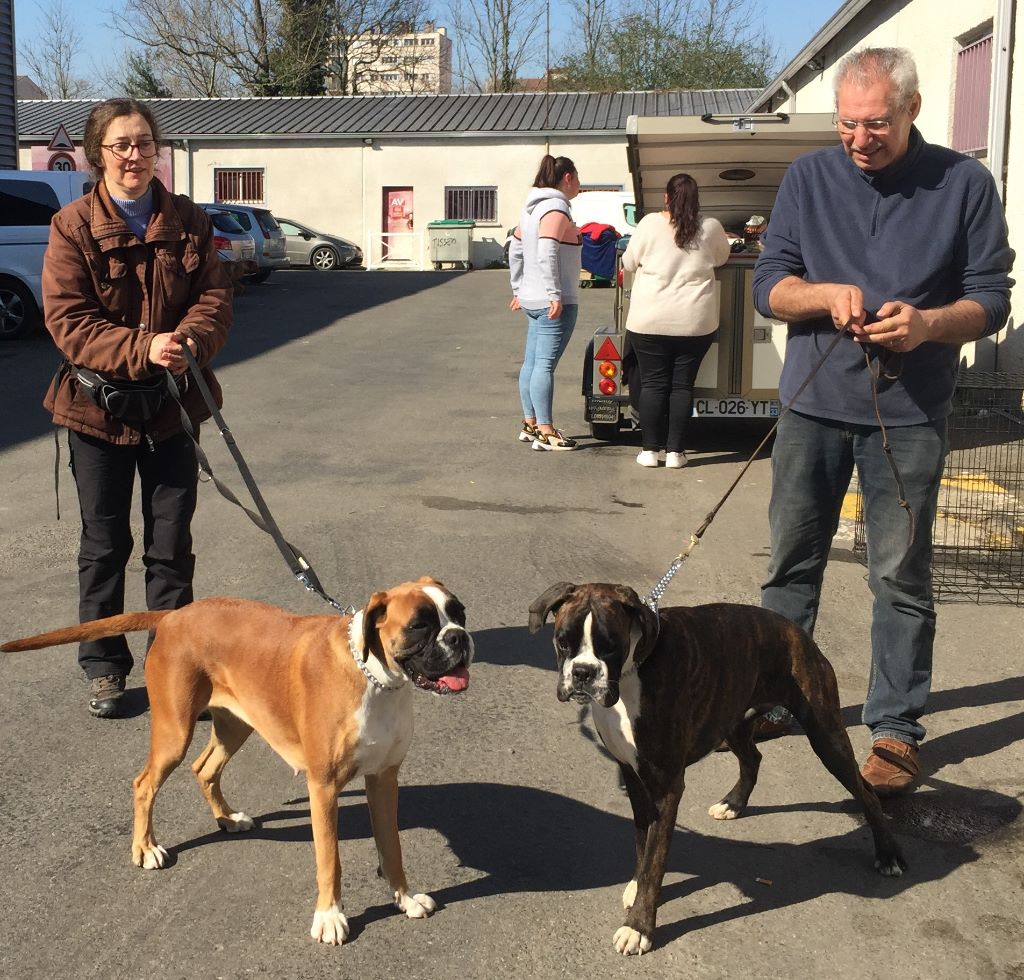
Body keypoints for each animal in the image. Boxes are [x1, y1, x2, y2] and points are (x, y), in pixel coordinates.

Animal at [2, 577, 473, 946]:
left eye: (460, 614)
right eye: (420, 625)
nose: (459, 637)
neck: (374, 677)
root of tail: (173, 616)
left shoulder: (383, 780)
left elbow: (392, 848)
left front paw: (405, 899)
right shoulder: (323, 788)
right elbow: (330, 861)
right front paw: (330, 918)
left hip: (236, 725)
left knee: (204, 769)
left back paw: (227, 819)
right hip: (174, 732)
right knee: (144, 783)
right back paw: (146, 848)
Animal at [528, 581, 905, 954]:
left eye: (610, 646)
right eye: (563, 641)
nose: (583, 672)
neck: (634, 669)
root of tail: (797, 633)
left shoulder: (665, 787)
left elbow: (656, 856)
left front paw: (639, 927)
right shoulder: (634, 777)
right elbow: (642, 842)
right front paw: (637, 887)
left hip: (825, 735)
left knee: (865, 791)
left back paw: (888, 855)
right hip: (731, 721)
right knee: (753, 758)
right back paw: (733, 803)